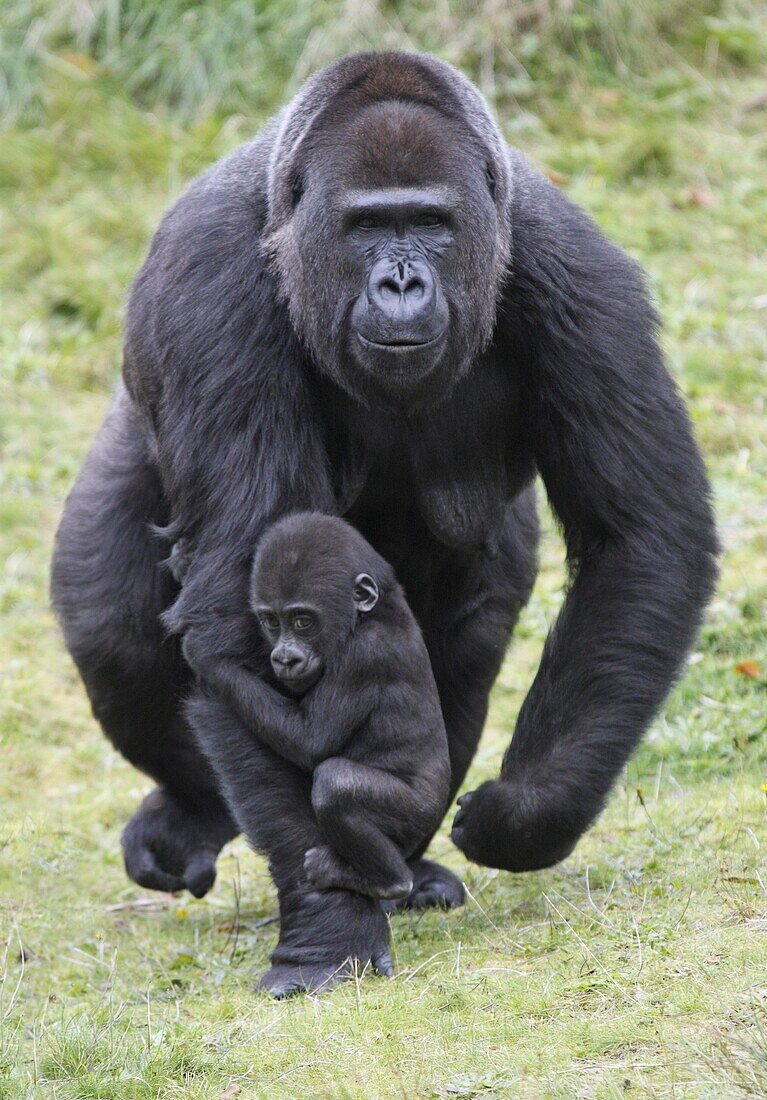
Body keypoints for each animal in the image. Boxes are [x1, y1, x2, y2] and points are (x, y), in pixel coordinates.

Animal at [196, 508, 451, 902]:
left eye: (303, 621)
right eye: (271, 621)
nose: (285, 658)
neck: (375, 611)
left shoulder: (364, 656)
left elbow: (311, 741)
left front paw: (209, 662)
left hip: (416, 816)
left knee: (337, 785)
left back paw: (388, 880)